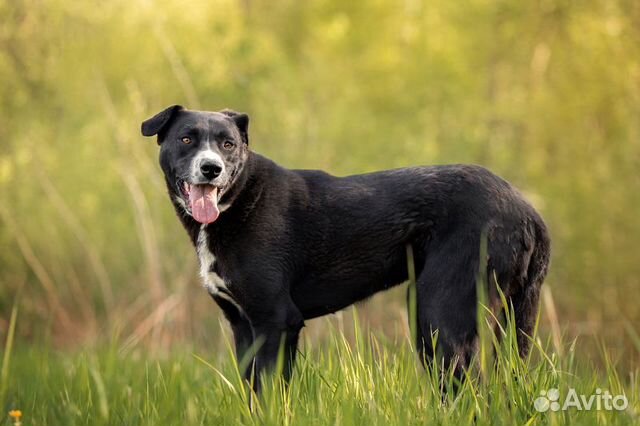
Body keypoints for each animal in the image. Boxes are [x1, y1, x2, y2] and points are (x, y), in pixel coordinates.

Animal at [140, 105, 552, 392]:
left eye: (228, 144)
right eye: (187, 139)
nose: (211, 168)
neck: (240, 201)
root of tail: (529, 211)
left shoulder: (276, 321)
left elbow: (271, 396)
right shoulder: (244, 326)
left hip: (438, 315)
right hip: (506, 319)